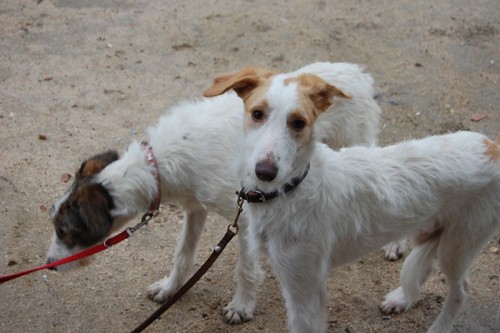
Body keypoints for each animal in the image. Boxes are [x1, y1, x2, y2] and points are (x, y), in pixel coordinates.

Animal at [47, 63, 382, 324]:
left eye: (66, 231)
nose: (49, 264)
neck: (161, 163)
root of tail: (359, 73)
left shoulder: (243, 217)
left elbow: (245, 269)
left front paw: (241, 306)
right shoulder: (195, 208)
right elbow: (183, 254)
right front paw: (170, 288)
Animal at [202, 68, 500, 332]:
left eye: (298, 123)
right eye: (257, 114)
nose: (265, 172)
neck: (292, 188)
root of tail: (492, 147)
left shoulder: (305, 291)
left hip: (459, 246)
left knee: (460, 291)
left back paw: (440, 327)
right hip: (429, 228)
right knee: (423, 267)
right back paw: (402, 299)